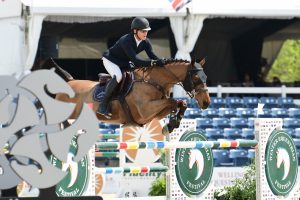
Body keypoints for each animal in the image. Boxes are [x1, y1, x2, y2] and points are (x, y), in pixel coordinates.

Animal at [52, 58, 210, 135]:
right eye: (196, 78)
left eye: (205, 77)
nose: (206, 102)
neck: (153, 81)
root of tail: (69, 81)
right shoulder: (145, 110)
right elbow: (172, 101)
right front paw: (172, 123)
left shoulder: (154, 114)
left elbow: (180, 103)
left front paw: (172, 125)